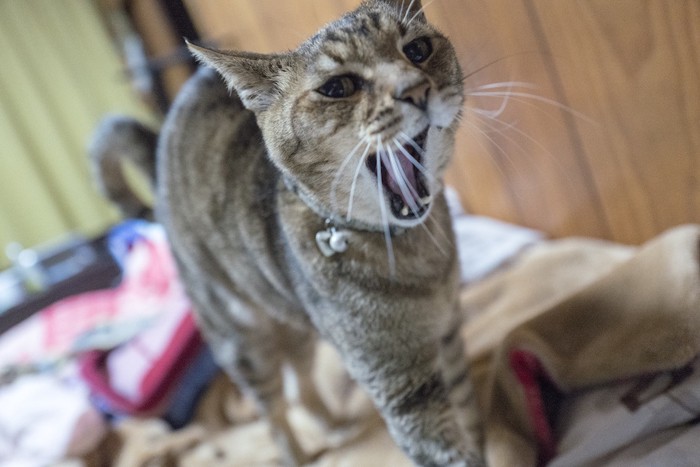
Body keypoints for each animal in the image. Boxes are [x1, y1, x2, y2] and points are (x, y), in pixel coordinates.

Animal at [93, 1, 484, 466]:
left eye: (419, 50)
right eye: (338, 87)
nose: (416, 89)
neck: (415, 253)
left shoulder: (450, 338)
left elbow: (472, 420)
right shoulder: (401, 383)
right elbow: (449, 452)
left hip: (296, 325)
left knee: (301, 386)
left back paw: (335, 424)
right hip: (244, 343)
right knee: (276, 415)